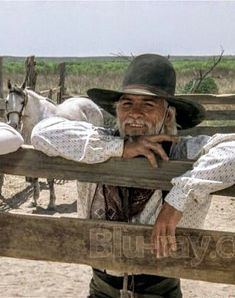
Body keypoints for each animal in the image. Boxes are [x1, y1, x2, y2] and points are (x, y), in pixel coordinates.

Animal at [5, 82, 103, 210]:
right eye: (6, 101)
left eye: (22, 102)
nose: (13, 124)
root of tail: (95, 106)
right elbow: (34, 177)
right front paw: (34, 200)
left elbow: (50, 179)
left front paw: (51, 203)